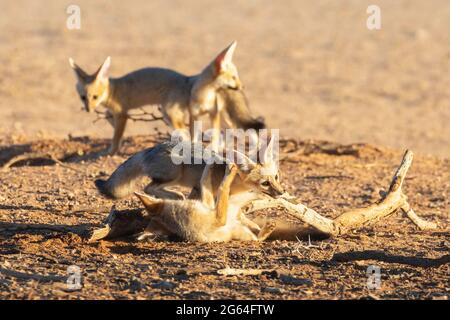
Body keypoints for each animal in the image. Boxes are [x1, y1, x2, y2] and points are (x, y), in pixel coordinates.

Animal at [68, 41, 262, 154]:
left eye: (95, 96)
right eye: (83, 97)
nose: (88, 110)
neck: (113, 89)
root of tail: (187, 79)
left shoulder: (122, 113)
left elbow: (117, 135)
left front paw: (112, 150)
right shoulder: (113, 114)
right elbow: (114, 127)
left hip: (171, 112)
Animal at [133, 164, 278, 241]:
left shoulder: (208, 204)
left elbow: (204, 181)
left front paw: (210, 164)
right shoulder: (218, 217)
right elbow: (222, 187)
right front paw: (229, 172)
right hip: (238, 221)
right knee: (257, 238)